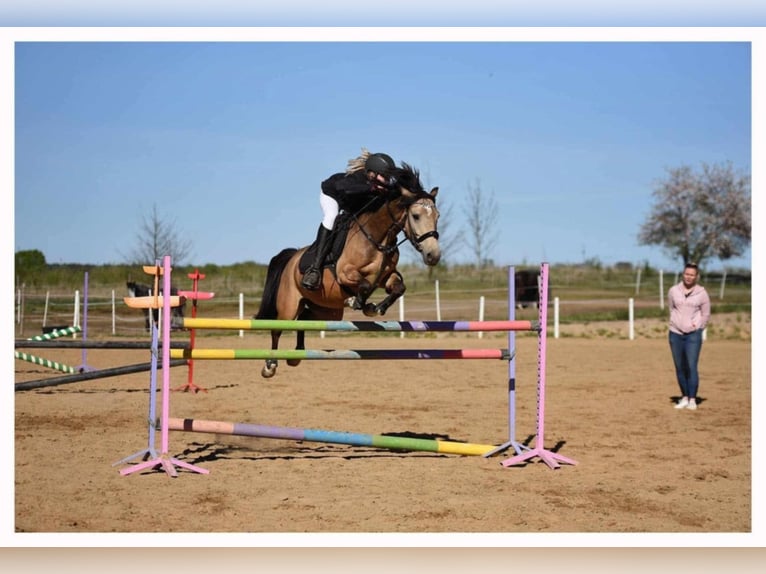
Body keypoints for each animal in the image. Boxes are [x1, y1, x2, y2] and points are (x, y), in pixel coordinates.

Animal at [254, 162, 441, 378]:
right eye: (416, 216)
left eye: (437, 216)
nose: (433, 255)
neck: (377, 237)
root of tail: (292, 257)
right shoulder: (345, 273)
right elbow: (364, 284)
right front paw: (357, 302)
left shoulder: (386, 277)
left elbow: (398, 288)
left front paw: (375, 308)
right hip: (289, 304)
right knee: (278, 328)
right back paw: (270, 365)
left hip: (326, 309)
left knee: (304, 320)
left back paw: (297, 355)